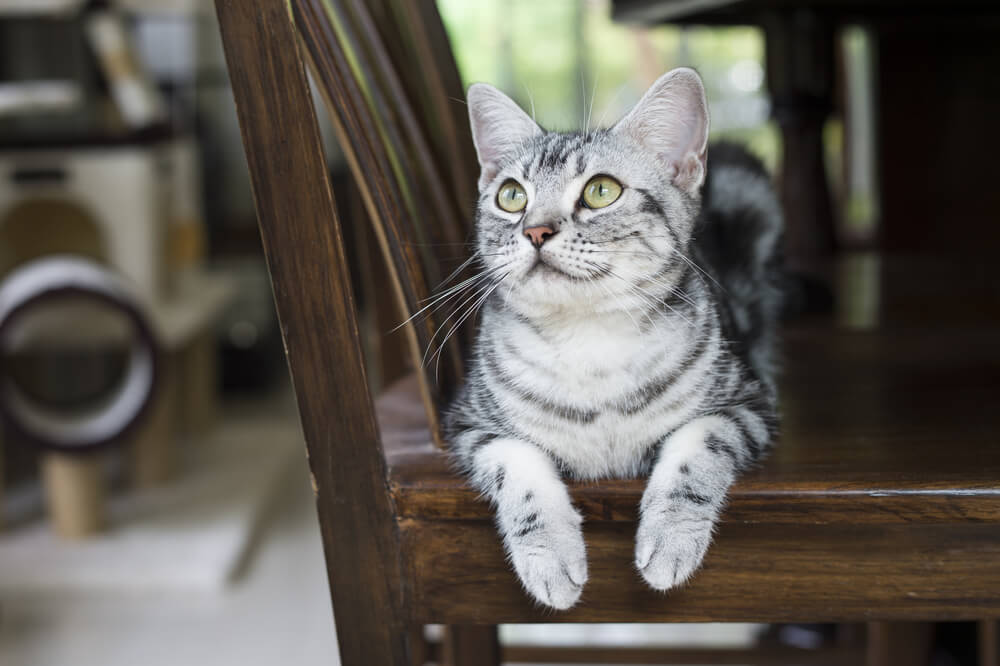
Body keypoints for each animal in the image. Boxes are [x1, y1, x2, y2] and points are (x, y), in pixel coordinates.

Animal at [444, 67, 780, 608]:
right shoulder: (470, 424)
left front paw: (671, 537)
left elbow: (698, 448)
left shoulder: (747, 404)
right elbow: (519, 465)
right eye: (511, 196)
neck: (587, 340)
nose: (535, 231)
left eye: (601, 191)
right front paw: (548, 557)